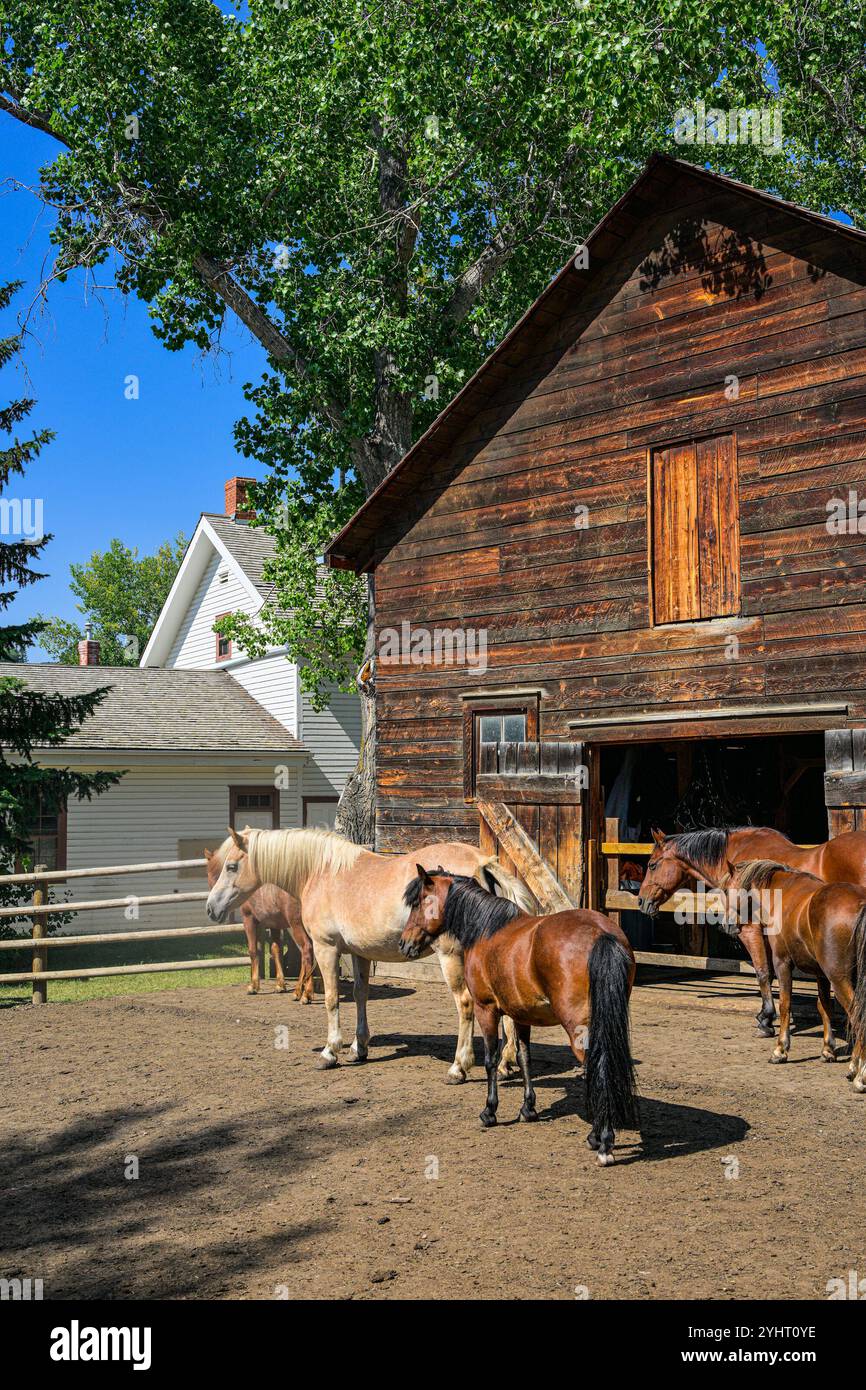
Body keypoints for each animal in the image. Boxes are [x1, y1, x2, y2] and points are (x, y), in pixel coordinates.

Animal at [204, 839, 316, 1006]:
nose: (212, 909)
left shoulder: (249, 919)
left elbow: (253, 950)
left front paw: (254, 986)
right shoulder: (275, 924)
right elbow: (276, 950)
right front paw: (280, 984)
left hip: (295, 925)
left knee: (306, 950)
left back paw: (305, 994)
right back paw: (298, 991)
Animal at [400, 867, 636, 1162]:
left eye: (419, 902)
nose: (403, 943)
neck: (486, 930)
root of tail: (601, 934)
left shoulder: (486, 1009)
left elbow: (491, 1060)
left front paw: (489, 1112)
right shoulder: (523, 1016)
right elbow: (525, 1058)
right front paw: (528, 1109)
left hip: (580, 1029)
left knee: (599, 1069)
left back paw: (602, 1141)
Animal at [633, 822, 866, 1034]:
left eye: (652, 865)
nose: (641, 901)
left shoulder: (749, 929)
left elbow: (762, 972)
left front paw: (766, 1019)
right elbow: (769, 973)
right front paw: (767, 1015)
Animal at [722, 856, 866, 1084]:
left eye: (727, 891)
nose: (727, 925)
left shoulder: (782, 963)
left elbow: (785, 1005)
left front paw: (780, 1050)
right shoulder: (820, 974)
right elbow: (824, 1007)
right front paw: (828, 1050)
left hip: (840, 978)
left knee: (858, 1015)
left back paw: (858, 1073)